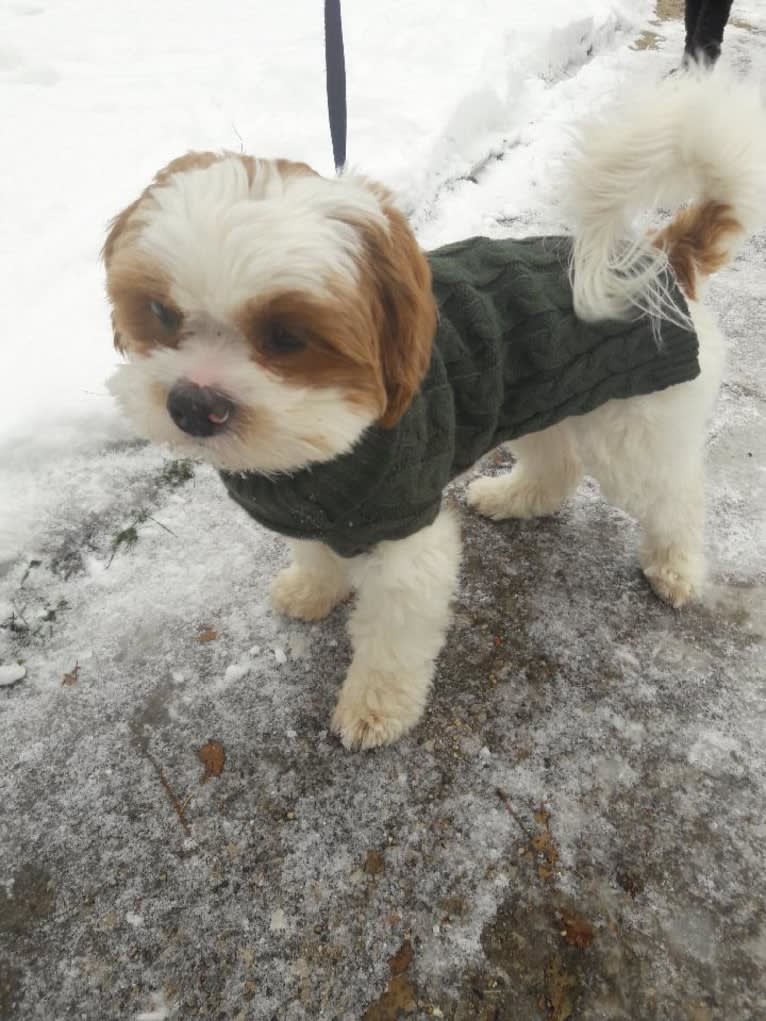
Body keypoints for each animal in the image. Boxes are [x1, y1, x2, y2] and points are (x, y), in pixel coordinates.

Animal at [103, 67, 766, 747]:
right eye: (160, 313)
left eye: (286, 337)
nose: (192, 404)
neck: (325, 446)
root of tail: (664, 259)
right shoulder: (320, 508)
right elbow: (316, 553)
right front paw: (314, 589)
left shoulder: (407, 537)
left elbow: (392, 638)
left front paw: (376, 707)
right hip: (541, 396)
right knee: (556, 466)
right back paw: (515, 498)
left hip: (634, 430)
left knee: (673, 498)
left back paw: (676, 568)